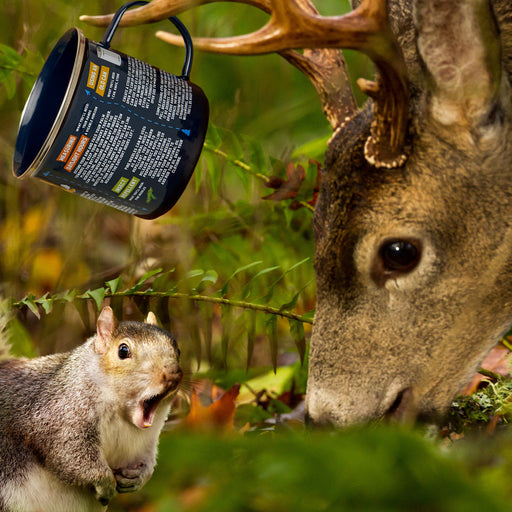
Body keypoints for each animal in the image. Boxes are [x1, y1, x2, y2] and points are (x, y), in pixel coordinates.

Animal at [0, 306, 182, 510]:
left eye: (177, 349)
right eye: (123, 350)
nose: (173, 375)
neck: (122, 417)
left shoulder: (146, 441)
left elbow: (147, 461)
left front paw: (139, 477)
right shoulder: (58, 414)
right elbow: (69, 454)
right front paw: (106, 483)